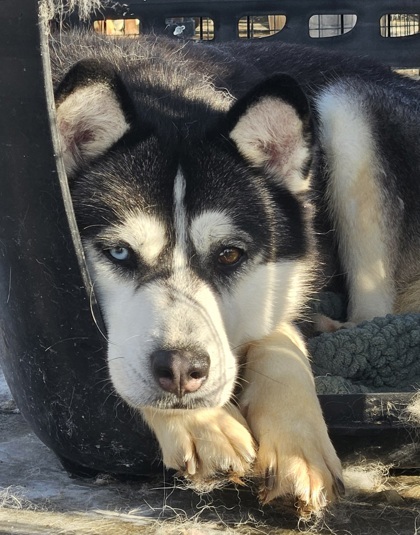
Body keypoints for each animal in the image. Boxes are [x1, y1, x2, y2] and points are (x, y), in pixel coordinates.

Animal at [50, 30, 420, 516]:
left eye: (229, 255)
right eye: (119, 252)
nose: (182, 371)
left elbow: (280, 339)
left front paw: (298, 446)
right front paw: (204, 422)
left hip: (348, 105)